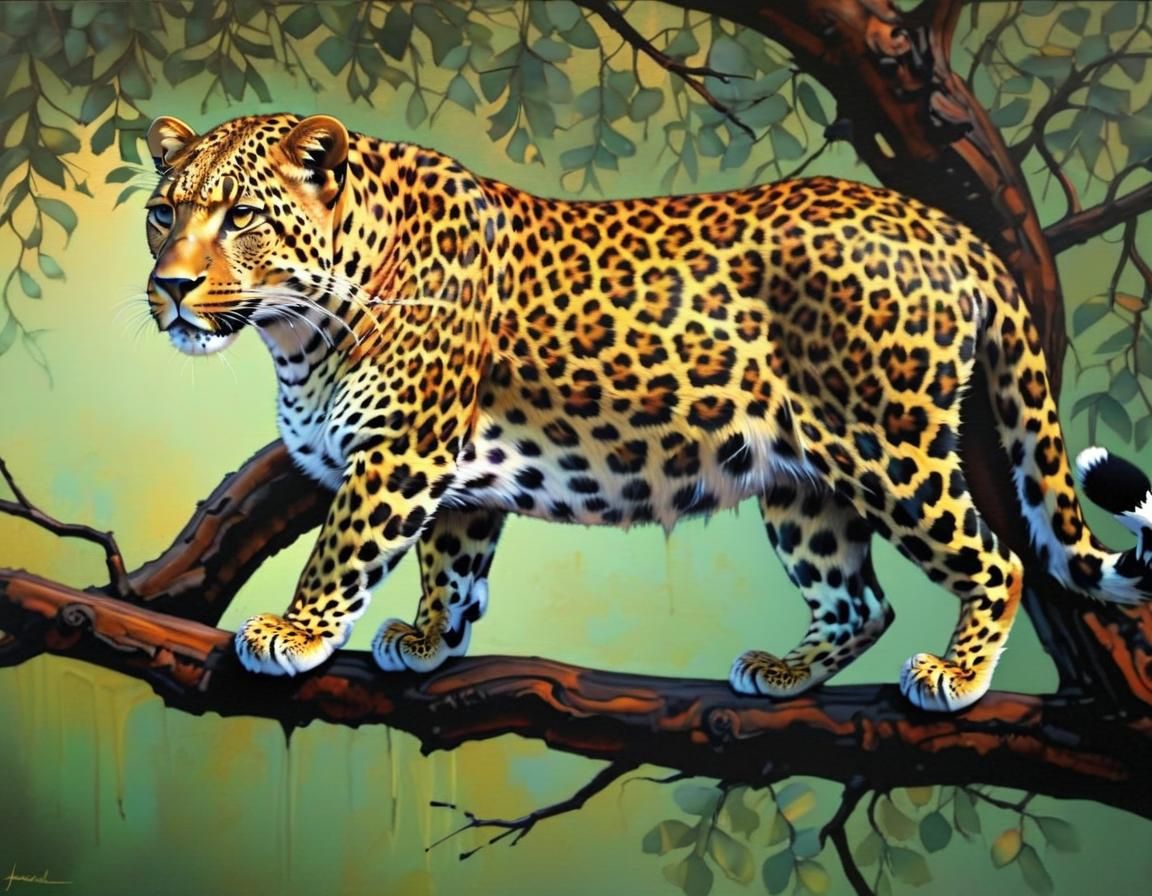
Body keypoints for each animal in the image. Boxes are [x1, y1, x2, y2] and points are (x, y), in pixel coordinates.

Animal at [142, 112, 1152, 712]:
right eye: (162, 214)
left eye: (239, 217)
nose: (170, 288)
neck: (296, 329)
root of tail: (945, 225)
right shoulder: (457, 480)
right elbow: (452, 563)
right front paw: (431, 640)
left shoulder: (399, 457)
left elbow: (343, 550)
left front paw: (294, 634)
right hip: (803, 482)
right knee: (859, 601)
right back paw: (785, 675)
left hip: (889, 447)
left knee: (997, 557)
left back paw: (958, 676)